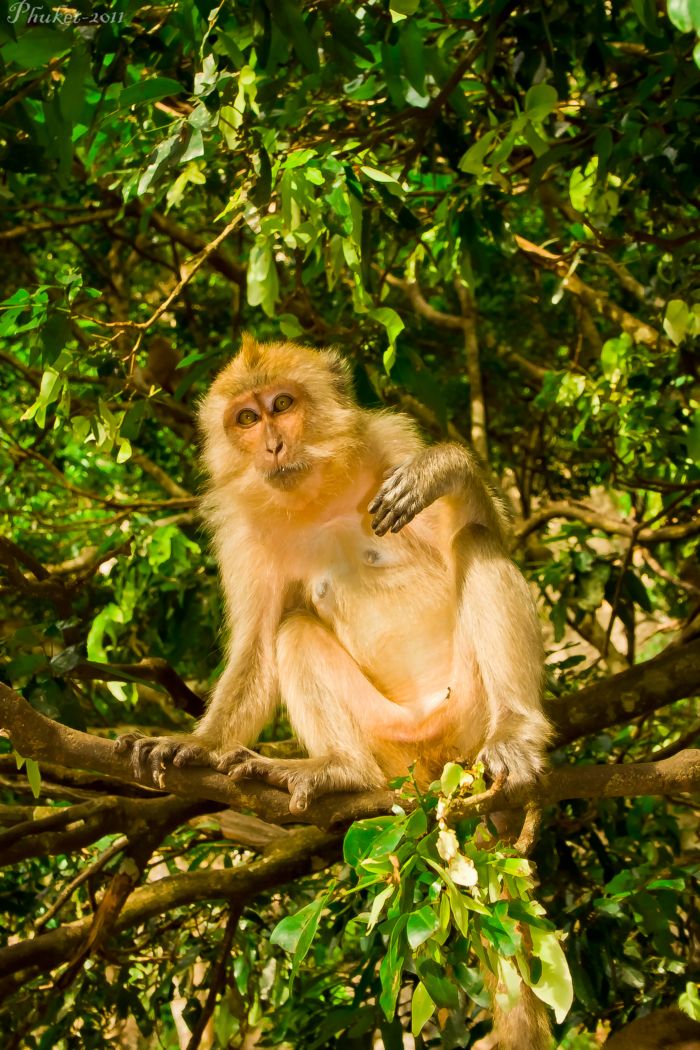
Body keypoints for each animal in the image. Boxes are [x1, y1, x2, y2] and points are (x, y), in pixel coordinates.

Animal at [114, 336, 554, 1050]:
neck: (315, 495)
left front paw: (445, 469)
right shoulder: (240, 531)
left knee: (477, 543)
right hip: (391, 744)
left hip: (469, 715)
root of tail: (436, 764)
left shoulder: (390, 440)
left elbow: (485, 528)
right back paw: (340, 770)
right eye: (245, 418)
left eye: (282, 405)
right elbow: (260, 642)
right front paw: (199, 746)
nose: (271, 444)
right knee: (293, 629)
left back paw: (517, 732)